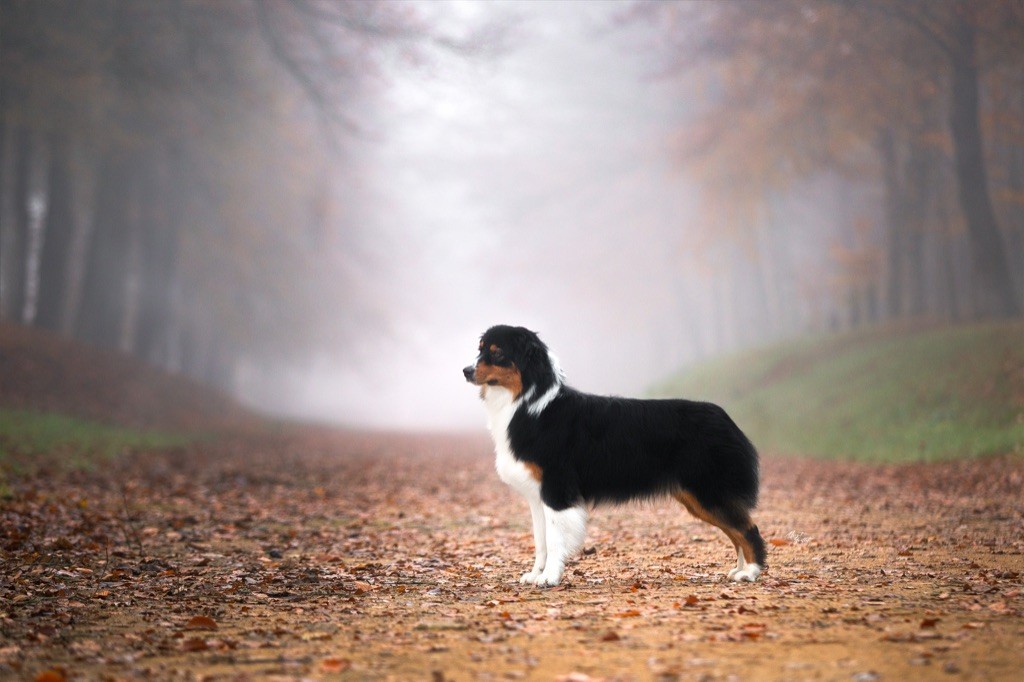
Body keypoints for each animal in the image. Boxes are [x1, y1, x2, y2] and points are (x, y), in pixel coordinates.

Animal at [460, 323, 765, 585]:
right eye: (480, 348)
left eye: (497, 352)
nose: (465, 370)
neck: (528, 402)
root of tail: (726, 418)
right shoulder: (538, 497)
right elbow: (541, 541)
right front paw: (536, 574)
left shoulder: (558, 490)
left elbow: (555, 539)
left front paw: (549, 578)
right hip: (697, 496)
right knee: (736, 529)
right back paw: (739, 569)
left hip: (707, 490)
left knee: (748, 529)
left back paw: (750, 572)